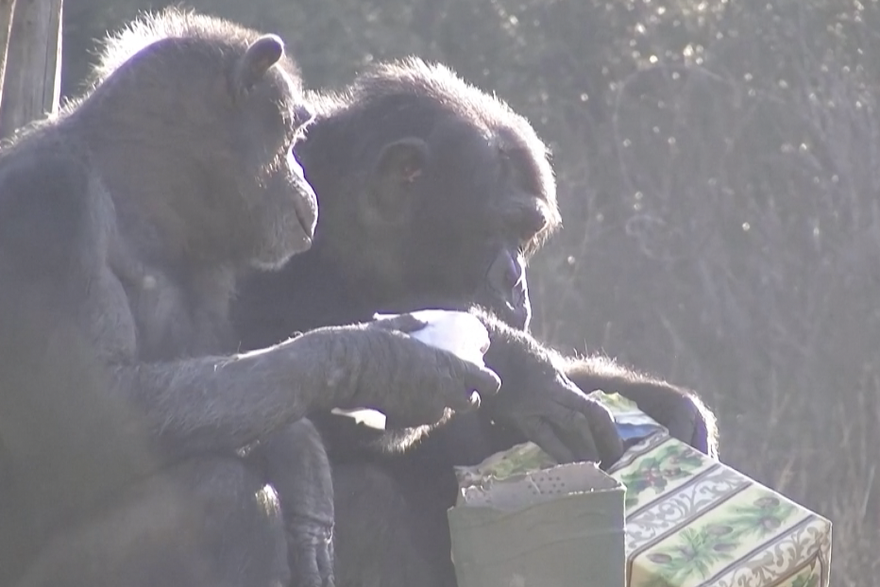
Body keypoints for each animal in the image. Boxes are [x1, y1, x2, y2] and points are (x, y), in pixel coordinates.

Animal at [0, 12, 502, 587]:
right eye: (291, 133)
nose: (303, 180)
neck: (140, 199)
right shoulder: (53, 205)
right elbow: (97, 412)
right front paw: (386, 364)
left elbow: (239, 389)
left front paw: (299, 463)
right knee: (221, 497)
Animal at [230, 58, 720, 587]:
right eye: (497, 226)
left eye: (525, 234)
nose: (515, 279)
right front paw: (517, 368)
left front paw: (665, 403)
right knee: (363, 498)